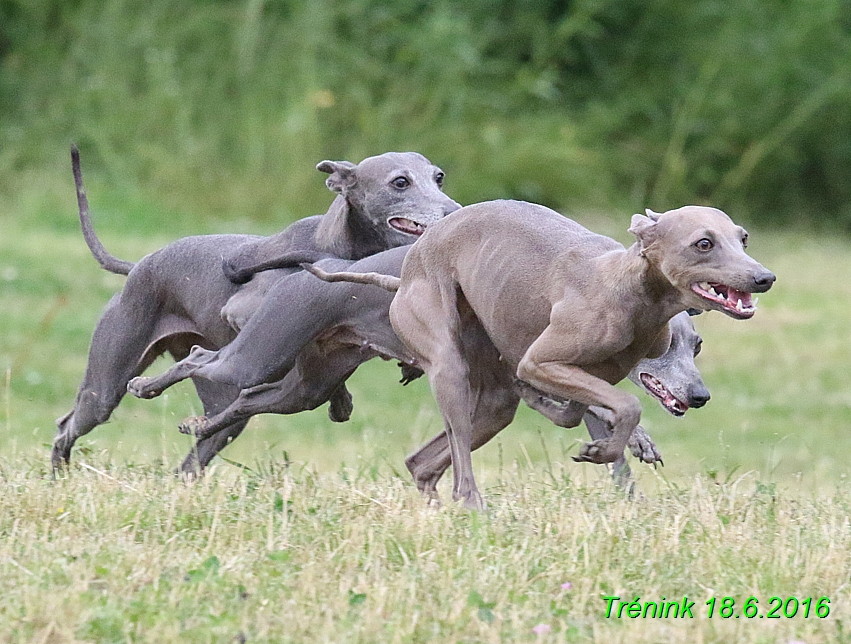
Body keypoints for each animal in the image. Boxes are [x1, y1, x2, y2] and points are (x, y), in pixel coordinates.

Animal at [53, 147, 460, 472]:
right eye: (400, 182)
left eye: (439, 177)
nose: (454, 212)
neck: (340, 244)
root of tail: (137, 266)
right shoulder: (242, 313)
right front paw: (341, 398)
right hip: (106, 385)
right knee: (67, 426)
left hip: (219, 410)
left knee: (197, 453)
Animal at [300, 200, 780, 508]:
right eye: (704, 243)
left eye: (743, 238)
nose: (764, 278)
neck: (629, 288)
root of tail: (405, 272)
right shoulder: (541, 361)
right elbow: (627, 405)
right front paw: (602, 450)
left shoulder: (577, 373)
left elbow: (585, 410)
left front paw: (601, 440)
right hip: (449, 364)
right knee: (458, 450)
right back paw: (471, 504)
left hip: (492, 403)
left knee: (422, 462)